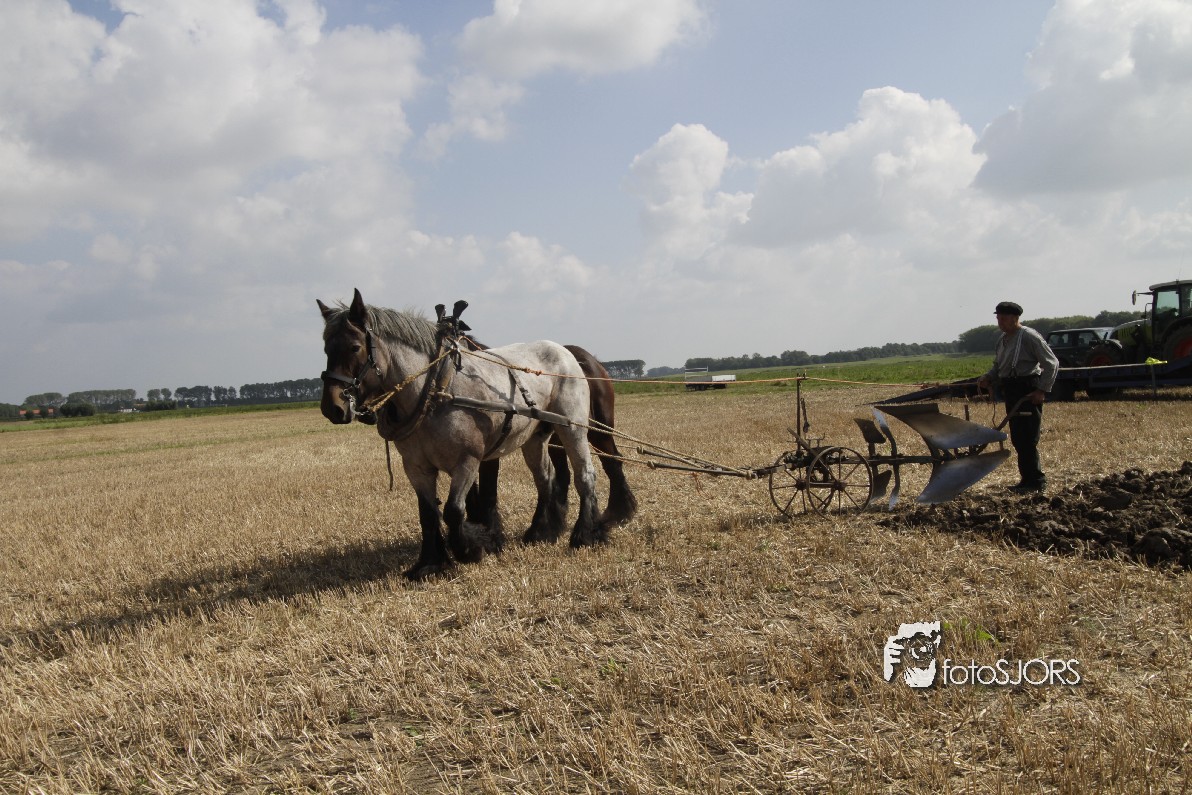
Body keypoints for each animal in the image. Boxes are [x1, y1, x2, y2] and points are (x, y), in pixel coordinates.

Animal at [318, 289, 608, 580]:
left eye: (355, 347)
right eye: (326, 349)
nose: (332, 408)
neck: (433, 390)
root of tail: (565, 351)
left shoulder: (467, 461)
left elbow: (454, 510)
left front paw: (469, 550)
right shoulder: (416, 467)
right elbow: (428, 514)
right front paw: (429, 562)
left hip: (572, 428)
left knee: (585, 475)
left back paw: (585, 535)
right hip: (534, 437)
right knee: (545, 478)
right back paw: (540, 532)